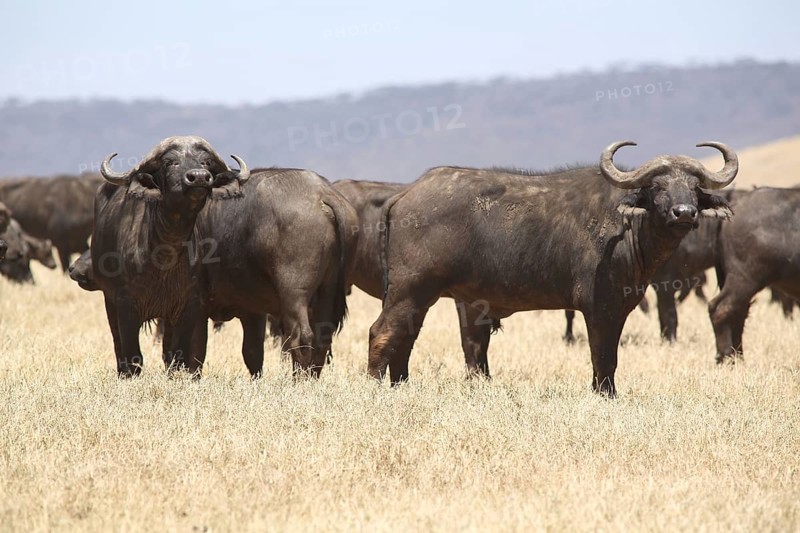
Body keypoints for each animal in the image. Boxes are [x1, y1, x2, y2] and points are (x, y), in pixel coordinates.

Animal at [368, 142, 738, 396]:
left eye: (693, 187)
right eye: (658, 187)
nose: (684, 212)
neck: (628, 227)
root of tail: (405, 194)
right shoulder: (601, 307)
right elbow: (604, 355)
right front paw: (605, 394)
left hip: (418, 298)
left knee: (405, 337)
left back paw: (401, 385)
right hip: (409, 290)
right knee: (381, 332)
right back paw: (374, 385)